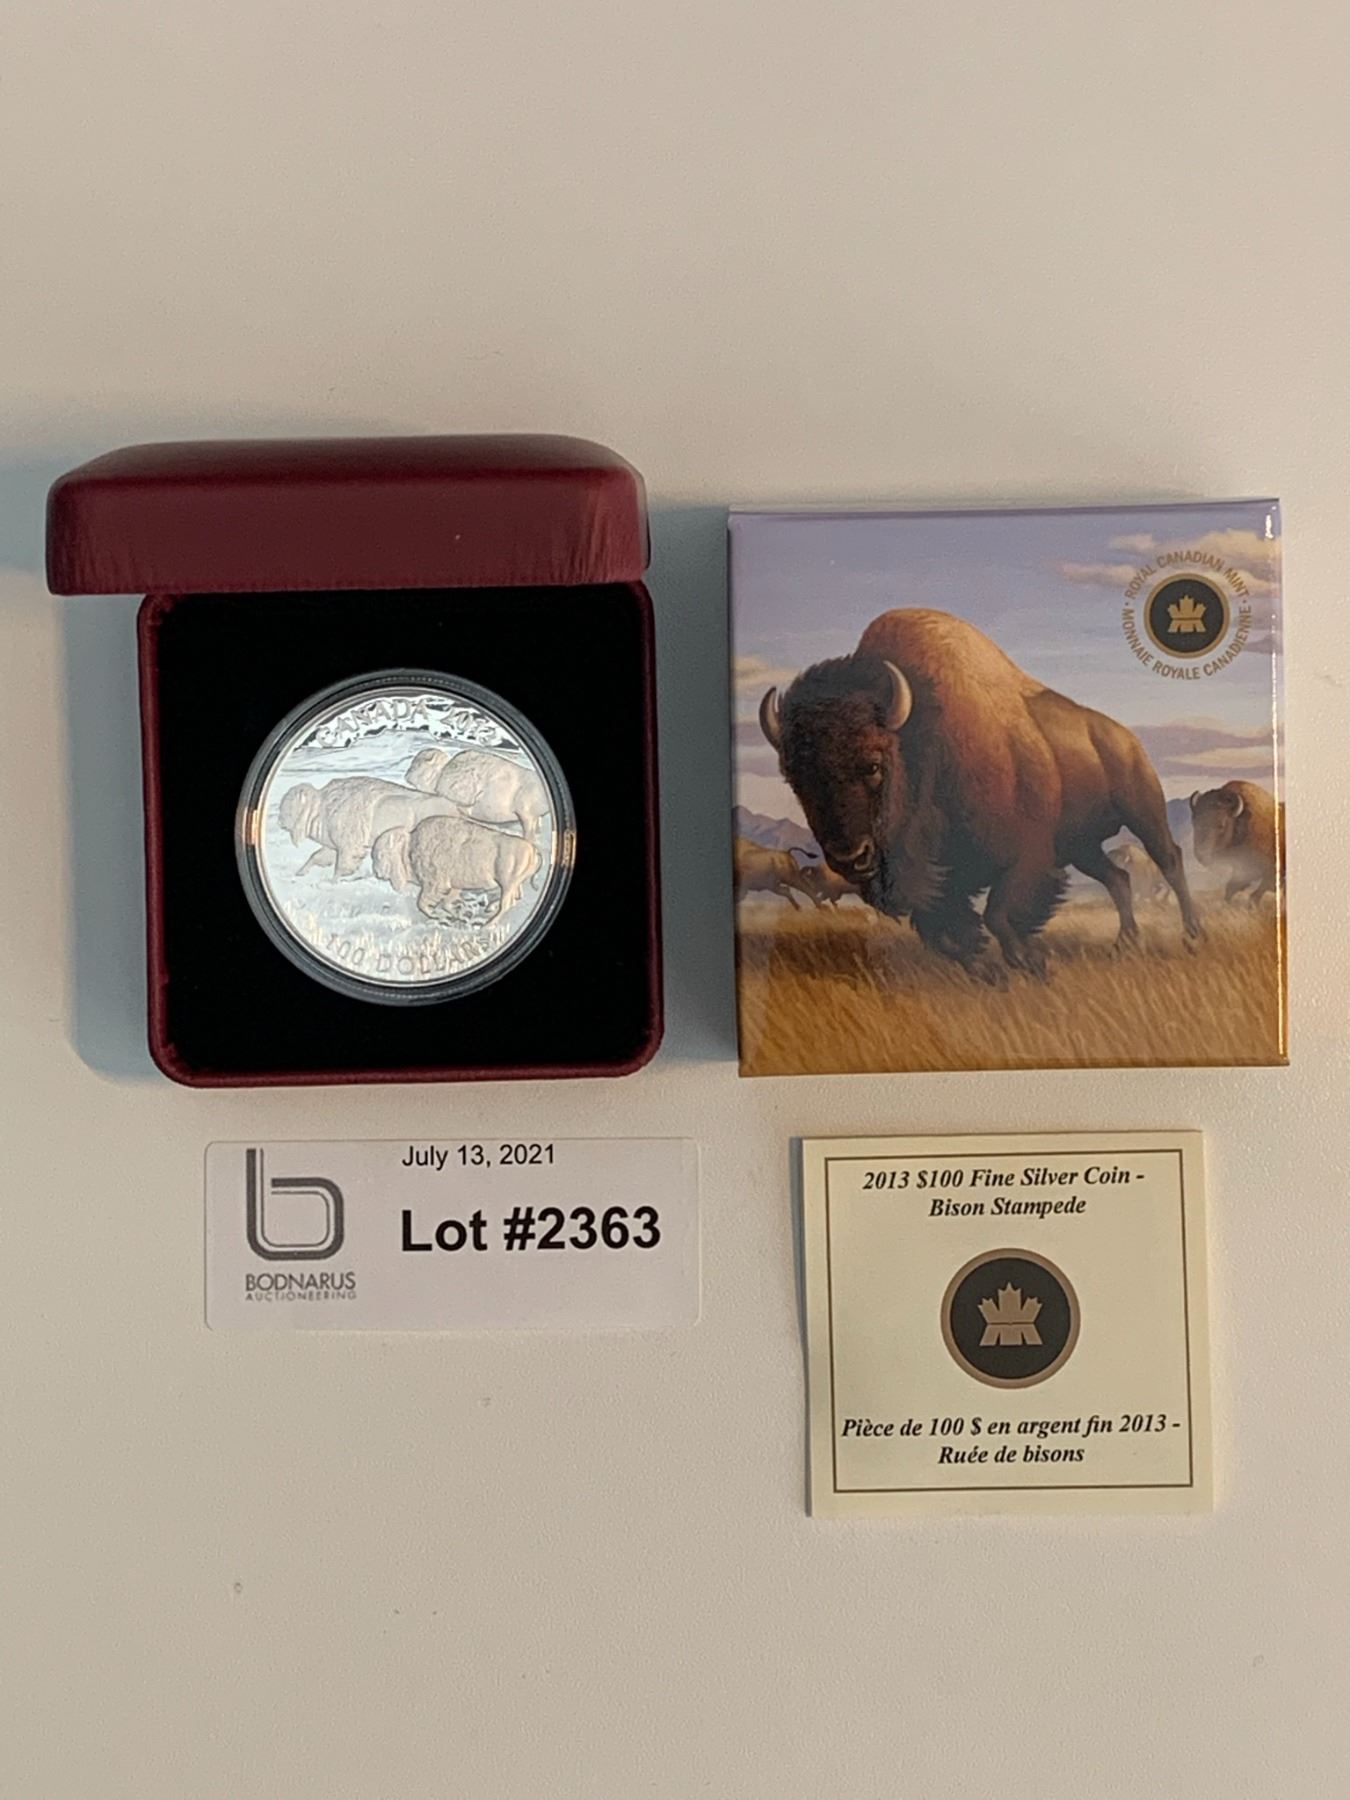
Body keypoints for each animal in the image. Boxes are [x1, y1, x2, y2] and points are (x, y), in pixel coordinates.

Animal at [759, 607, 1200, 980]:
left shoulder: (1027, 856)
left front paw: (1032, 962)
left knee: (1170, 861)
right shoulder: (940, 885)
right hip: (1082, 847)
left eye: (873, 764)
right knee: (1118, 878)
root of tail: (1126, 738)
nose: (849, 857)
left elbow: (998, 914)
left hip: (1144, 814)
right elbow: (949, 933)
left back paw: (1193, 935)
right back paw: (1126, 942)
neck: (924, 743)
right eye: (794, 779)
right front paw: (991, 971)